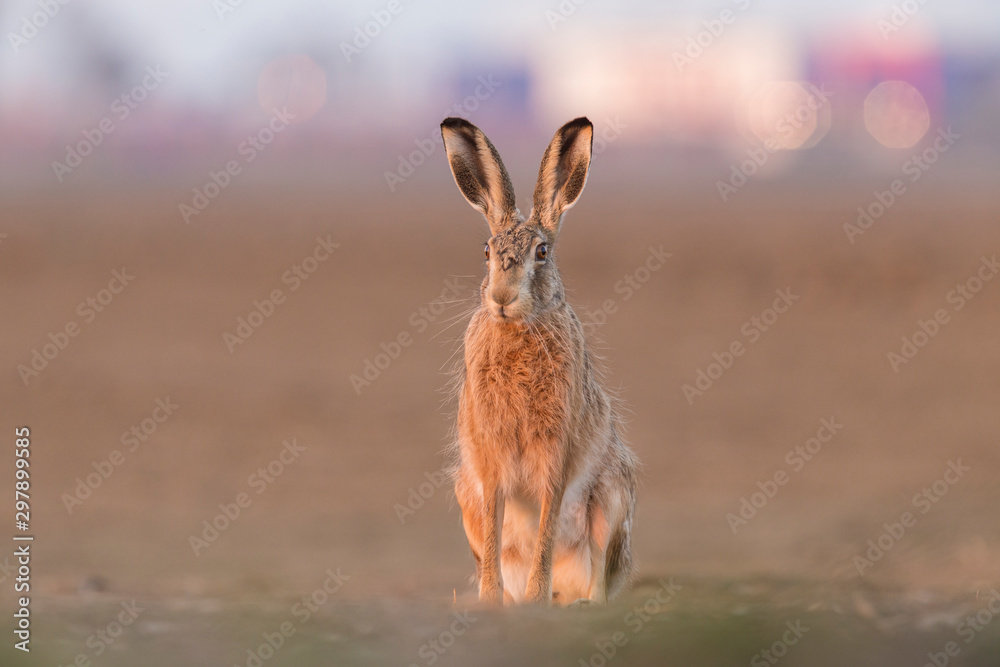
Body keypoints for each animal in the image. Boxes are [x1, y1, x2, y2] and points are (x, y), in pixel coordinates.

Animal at [440, 116, 638, 606]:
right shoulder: (489, 461)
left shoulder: (557, 451)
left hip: (611, 501)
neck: (519, 330)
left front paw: (535, 596)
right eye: (487, 252)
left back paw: (573, 601)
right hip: (464, 495)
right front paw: (492, 600)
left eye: (543, 253)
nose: (501, 297)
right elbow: (495, 524)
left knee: (599, 575)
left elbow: (547, 522)